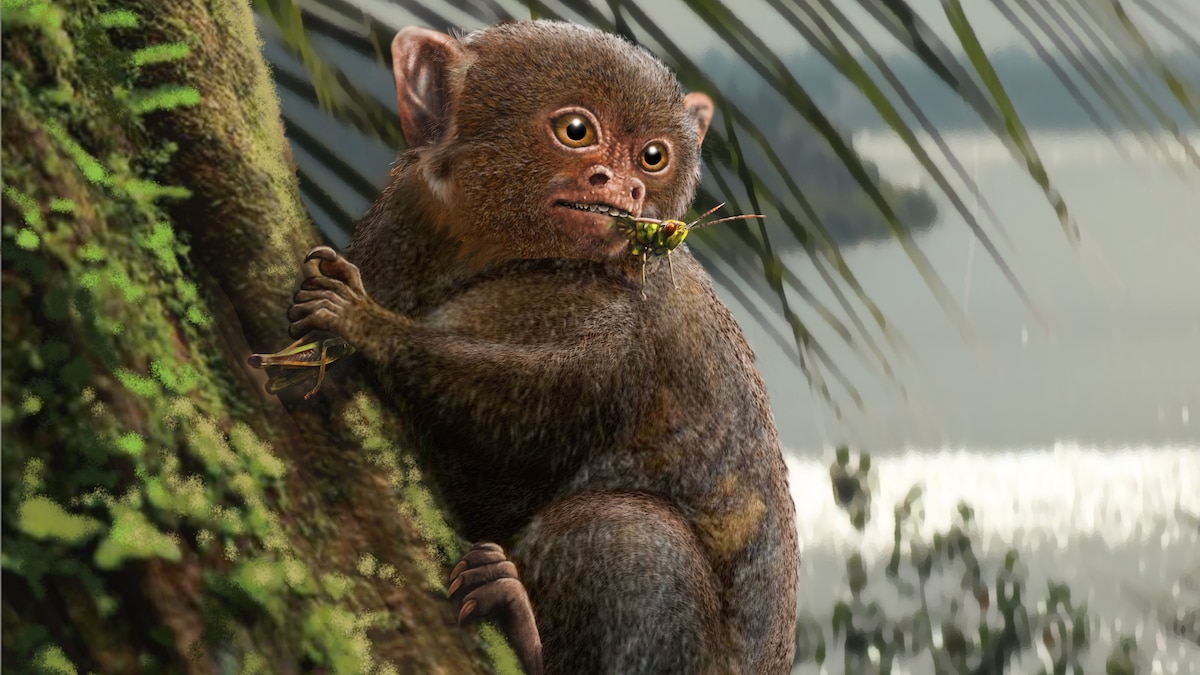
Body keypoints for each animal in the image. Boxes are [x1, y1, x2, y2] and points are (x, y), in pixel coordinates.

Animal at [286, 20, 799, 675]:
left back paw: (522, 629)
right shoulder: (401, 219)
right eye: (576, 132)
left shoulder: (628, 323)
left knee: (623, 529)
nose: (624, 186)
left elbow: (531, 414)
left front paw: (363, 323)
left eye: (652, 157)